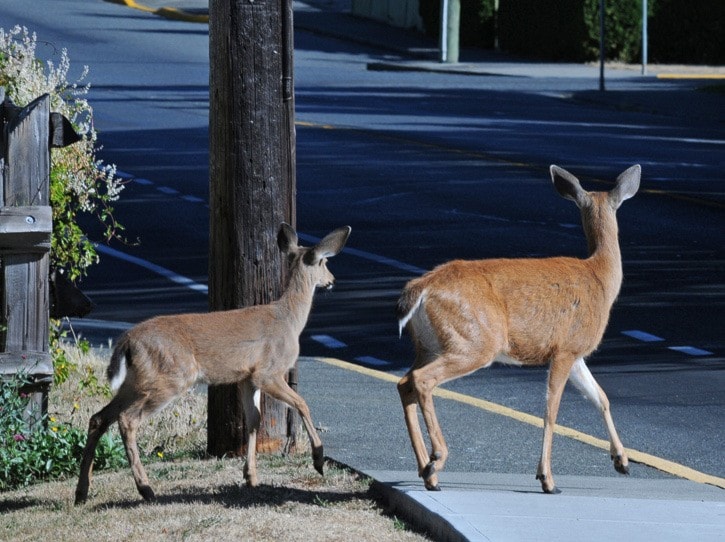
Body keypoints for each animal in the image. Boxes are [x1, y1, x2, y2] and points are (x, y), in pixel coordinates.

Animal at [75, 222, 352, 506]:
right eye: (324, 262)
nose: (332, 280)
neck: (289, 319)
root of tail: (127, 341)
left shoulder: (247, 378)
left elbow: (254, 420)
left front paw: (251, 477)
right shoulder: (268, 371)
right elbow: (301, 403)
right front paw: (318, 460)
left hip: (135, 382)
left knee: (99, 417)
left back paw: (82, 492)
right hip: (169, 378)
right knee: (127, 420)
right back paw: (145, 489)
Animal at [396, 166, 640, 498]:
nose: (622, 462)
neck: (600, 276)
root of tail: (419, 290)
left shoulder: (577, 352)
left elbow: (600, 397)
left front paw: (622, 461)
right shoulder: (565, 348)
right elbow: (551, 409)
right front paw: (547, 479)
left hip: (430, 344)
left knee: (404, 382)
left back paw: (428, 473)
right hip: (474, 341)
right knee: (421, 380)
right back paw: (436, 459)